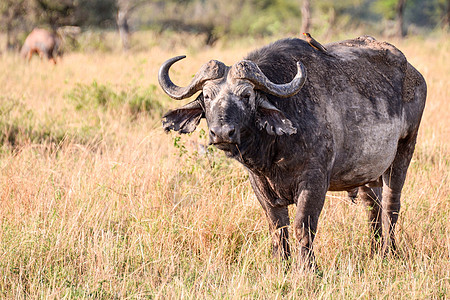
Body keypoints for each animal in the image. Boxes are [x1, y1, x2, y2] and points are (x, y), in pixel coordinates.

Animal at [159, 36, 428, 266]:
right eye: (206, 96)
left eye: (246, 95)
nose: (222, 133)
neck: (273, 151)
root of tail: (414, 74)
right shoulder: (260, 185)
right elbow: (278, 228)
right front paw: (283, 265)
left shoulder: (314, 181)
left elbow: (303, 226)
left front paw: (308, 268)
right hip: (367, 172)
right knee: (372, 206)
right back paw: (374, 252)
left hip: (405, 149)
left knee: (391, 204)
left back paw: (390, 252)